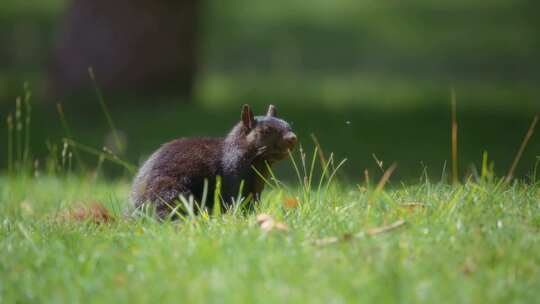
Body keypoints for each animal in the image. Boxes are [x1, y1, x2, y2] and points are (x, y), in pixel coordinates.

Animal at [129, 104, 298, 218]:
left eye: (288, 125)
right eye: (265, 131)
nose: (293, 138)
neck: (260, 164)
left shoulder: (256, 190)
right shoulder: (234, 179)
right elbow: (235, 203)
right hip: (169, 193)